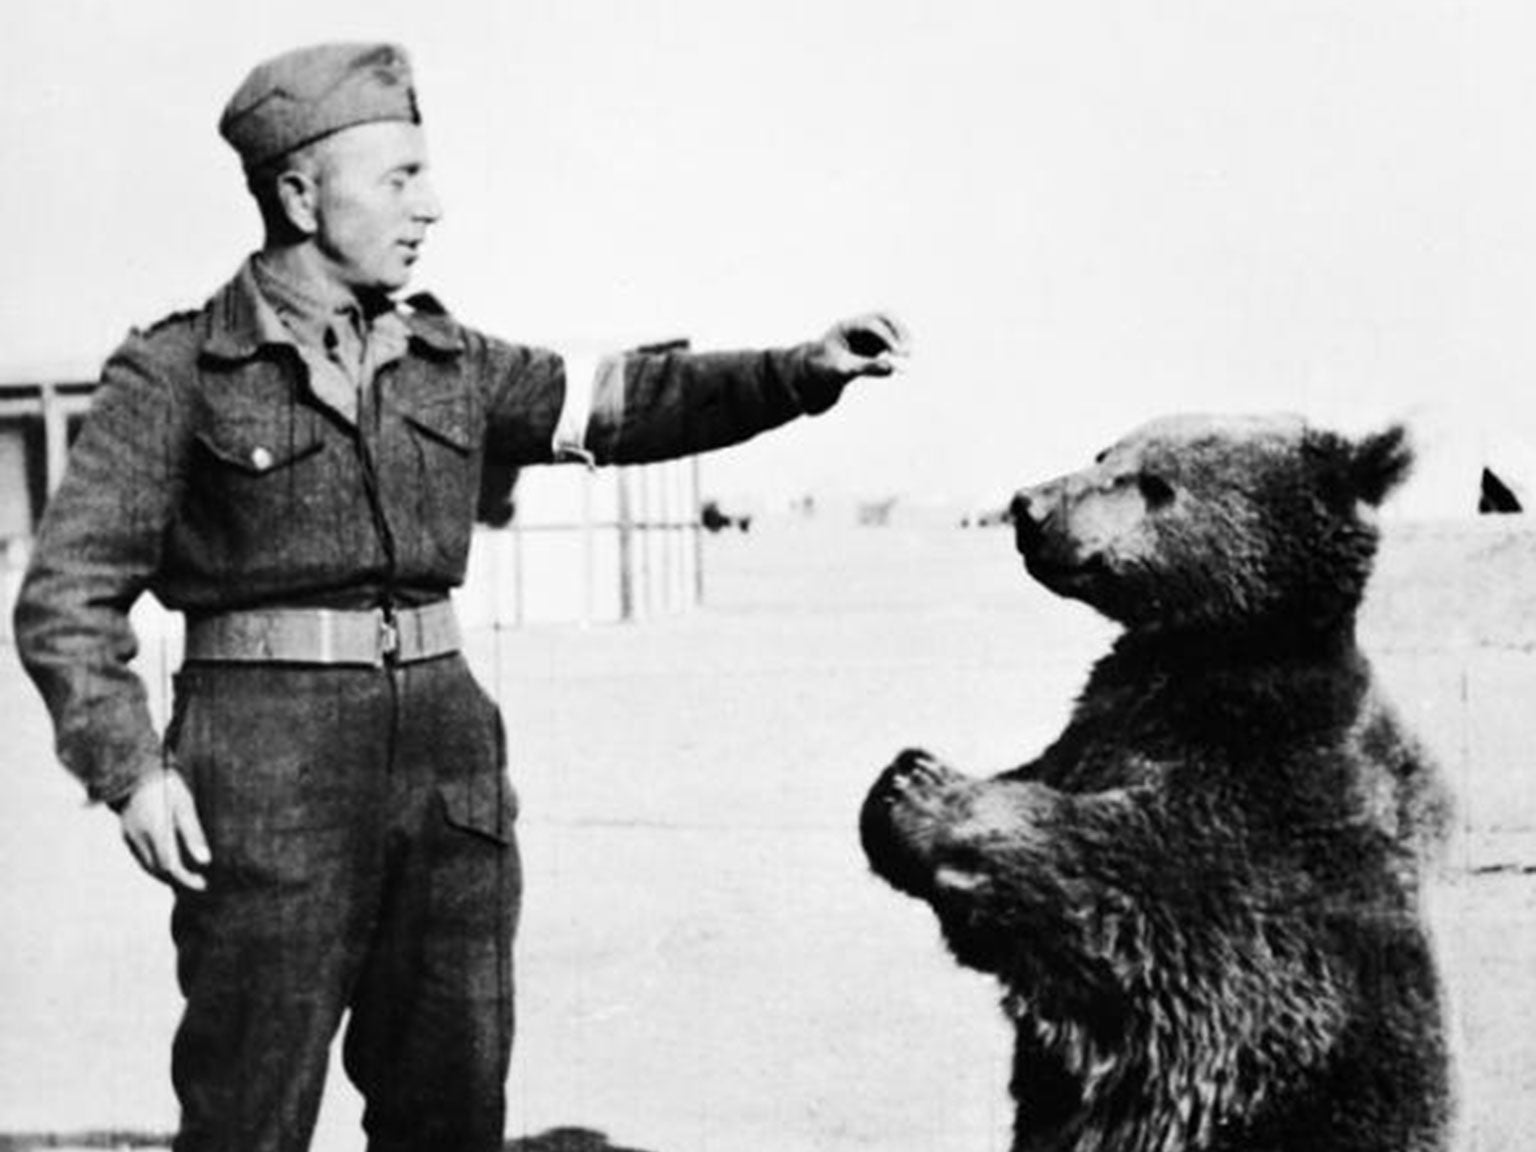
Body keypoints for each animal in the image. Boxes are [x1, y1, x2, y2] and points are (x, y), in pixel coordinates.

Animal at [866, 417, 1449, 1152]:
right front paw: (898, 780)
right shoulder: (1100, 723)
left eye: (1156, 483)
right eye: (1104, 451)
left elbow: (1120, 881)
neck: (1210, 654)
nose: (1030, 507)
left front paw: (922, 788)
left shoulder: (1262, 801)